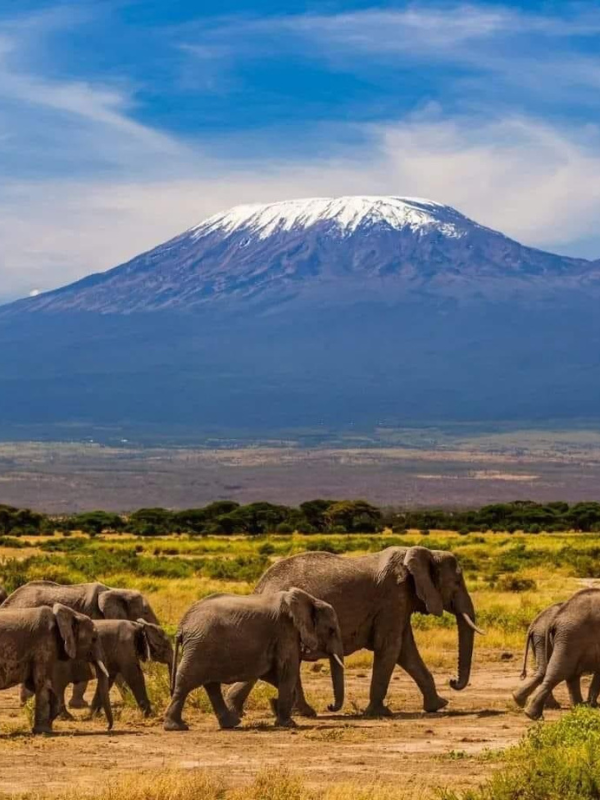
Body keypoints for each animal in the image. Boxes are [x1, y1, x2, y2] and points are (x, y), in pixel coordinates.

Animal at [0, 603, 112, 734]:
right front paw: (43, 731)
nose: (108, 728)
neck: (70, 614)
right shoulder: (45, 645)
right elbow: (43, 684)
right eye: (94, 639)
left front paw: (47, 727)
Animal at [164, 588, 344, 731]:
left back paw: (232, 724)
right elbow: (287, 670)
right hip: (200, 647)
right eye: (331, 630)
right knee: (186, 681)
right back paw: (176, 727)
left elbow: (275, 675)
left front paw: (275, 706)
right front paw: (288, 724)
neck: (309, 600)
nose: (329, 706)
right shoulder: (285, 631)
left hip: (204, 648)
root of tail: (182, 625)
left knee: (211, 685)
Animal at [226, 546, 482, 719]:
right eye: (457, 582)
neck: (420, 552)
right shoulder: (393, 598)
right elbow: (390, 647)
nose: (452, 681)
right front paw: (380, 712)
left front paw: (438, 705)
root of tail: (259, 588)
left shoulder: (400, 603)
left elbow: (406, 652)